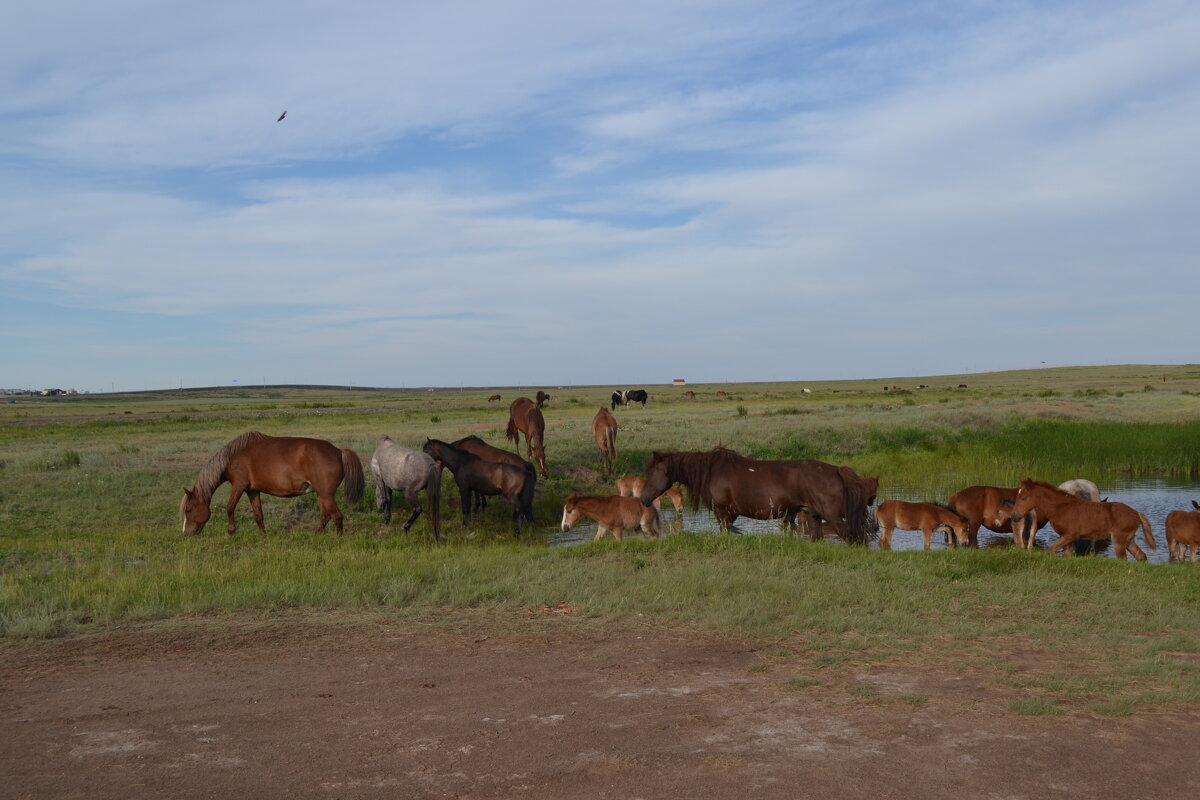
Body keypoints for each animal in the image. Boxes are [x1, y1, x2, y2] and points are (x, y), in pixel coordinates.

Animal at [177, 431, 362, 537]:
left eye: (189, 509)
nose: (186, 533)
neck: (232, 457)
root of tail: (339, 451)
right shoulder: (252, 491)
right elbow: (258, 514)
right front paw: (263, 534)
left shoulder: (238, 485)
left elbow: (229, 507)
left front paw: (231, 531)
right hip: (321, 495)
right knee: (325, 516)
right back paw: (316, 535)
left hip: (326, 495)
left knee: (337, 516)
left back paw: (338, 539)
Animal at [638, 443, 873, 544]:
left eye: (652, 472)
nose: (644, 499)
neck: (713, 471)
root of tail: (836, 470)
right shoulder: (730, 515)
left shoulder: (723, 513)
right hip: (814, 515)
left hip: (834, 517)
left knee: (853, 538)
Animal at [1008, 479, 1156, 561]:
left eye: (1024, 497)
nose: (1014, 516)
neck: (1061, 507)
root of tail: (1136, 513)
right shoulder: (1067, 538)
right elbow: (1066, 555)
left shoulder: (1070, 535)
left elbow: (1051, 550)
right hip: (1129, 540)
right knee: (1141, 556)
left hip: (1118, 540)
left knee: (1123, 559)